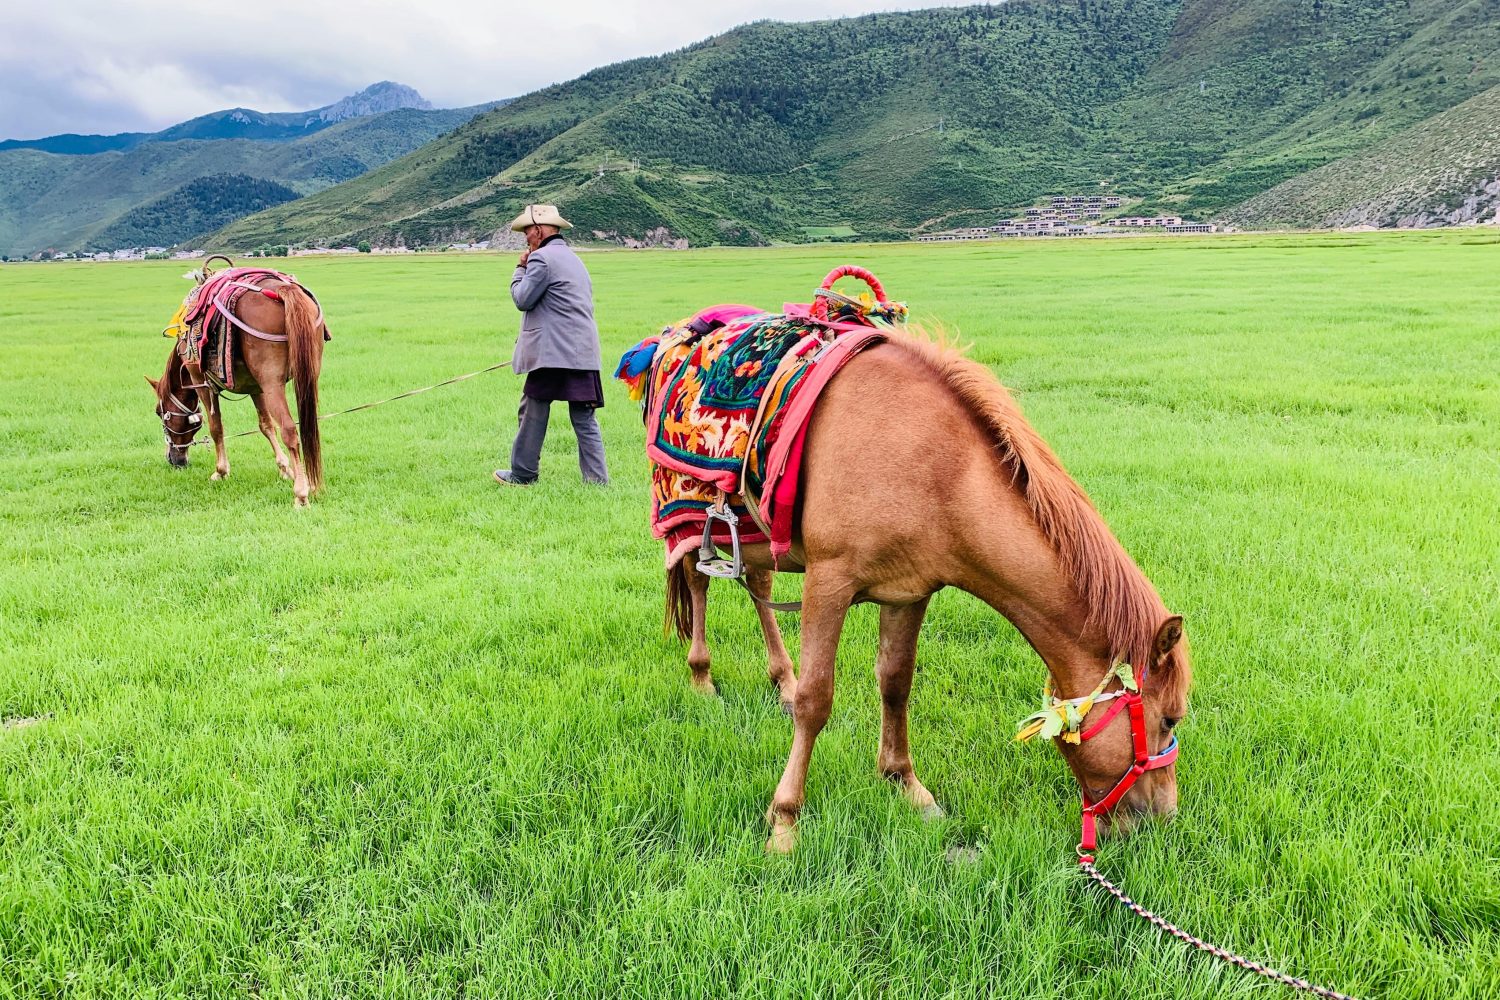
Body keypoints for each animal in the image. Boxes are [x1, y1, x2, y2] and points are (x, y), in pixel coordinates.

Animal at [148, 267, 327, 506]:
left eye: (160, 412)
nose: (174, 460)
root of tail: (283, 290)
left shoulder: (200, 380)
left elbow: (216, 427)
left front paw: (221, 471)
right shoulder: (255, 387)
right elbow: (265, 425)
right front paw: (284, 468)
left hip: (272, 383)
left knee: (289, 430)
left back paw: (301, 494)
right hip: (306, 376)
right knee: (308, 427)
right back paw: (311, 483)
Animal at [661, 332, 1191, 854]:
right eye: (1169, 720)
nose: (1164, 816)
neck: (935, 467)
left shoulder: (909, 592)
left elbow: (896, 683)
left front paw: (906, 786)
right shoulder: (828, 582)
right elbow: (817, 701)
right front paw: (785, 822)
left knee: (758, 586)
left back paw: (780, 680)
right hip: (691, 521)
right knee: (698, 581)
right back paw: (702, 678)